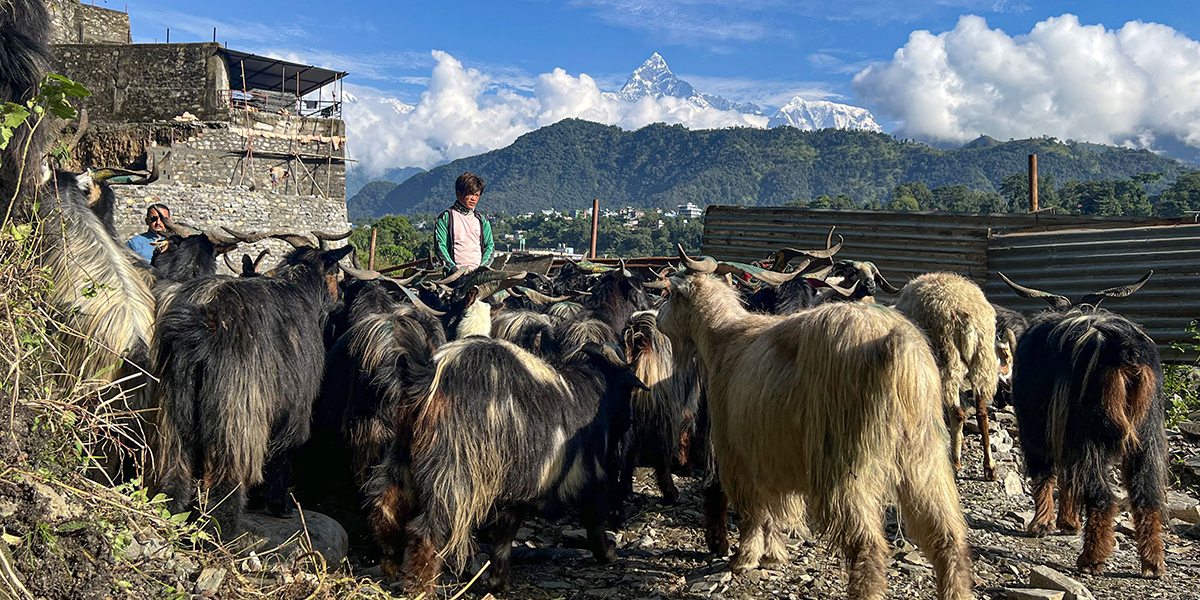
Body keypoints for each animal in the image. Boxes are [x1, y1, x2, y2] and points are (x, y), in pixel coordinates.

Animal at [150, 229, 350, 535]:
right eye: (336, 270)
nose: (342, 298)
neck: (300, 290)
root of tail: (205, 318)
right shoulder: (294, 406)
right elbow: (281, 456)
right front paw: (279, 505)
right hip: (236, 413)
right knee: (226, 481)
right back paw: (223, 532)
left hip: (174, 410)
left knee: (175, 469)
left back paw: (170, 519)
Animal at [369, 340, 648, 592]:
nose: (630, 422)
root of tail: (430, 376)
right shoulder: (593, 476)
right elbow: (595, 520)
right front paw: (608, 554)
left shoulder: (512, 490)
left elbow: (504, 535)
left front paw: (497, 582)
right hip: (453, 474)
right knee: (426, 533)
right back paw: (420, 589)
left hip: (402, 455)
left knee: (387, 507)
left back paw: (390, 562)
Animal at [657, 248, 974, 600]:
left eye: (671, 294)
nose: (657, 318)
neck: (723, 336)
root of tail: (898, 344)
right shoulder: (772, 453)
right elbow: (775, 510)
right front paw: (773, 555)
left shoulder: (737, 450)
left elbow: (753, 510)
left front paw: (745, 558)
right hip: (923, 454)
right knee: (947, 536)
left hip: (845, 462)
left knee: (868, 544)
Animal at [892, 274, 1003, 480]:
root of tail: (966, 316)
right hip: (983, 360)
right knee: (982, 413)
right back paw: (990, 467)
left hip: (947, 358)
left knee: (957, 413)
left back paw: (955, 462)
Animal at [998, 274, 1166, 578]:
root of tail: (1127, 350)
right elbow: (1068, 479)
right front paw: (1069, 523)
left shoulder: (1037, 430)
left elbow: (1045, 475)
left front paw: (1042, 525)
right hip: (1148, 434)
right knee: (1146, 495)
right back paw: (1153, 563)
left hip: (1090, 432)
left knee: (1102, 497)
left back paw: (1091, 559)